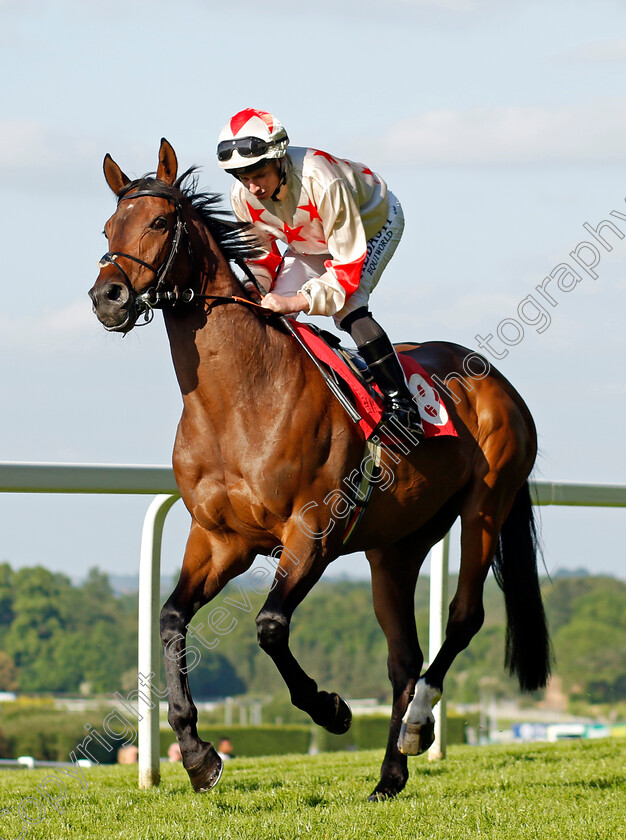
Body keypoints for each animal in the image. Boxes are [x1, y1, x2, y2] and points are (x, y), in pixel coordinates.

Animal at [89, 138, 552, 800]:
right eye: (107, 227)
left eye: (156, 222)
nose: (108, 298)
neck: (239, 400)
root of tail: (499, 382)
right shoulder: (220, 539)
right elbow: (172, 618)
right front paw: (198, 755)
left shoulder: (311, 532)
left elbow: (269, 626)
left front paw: (331, 709)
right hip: (396, 546)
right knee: (403, 658)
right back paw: (389, 775)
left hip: (485, 507)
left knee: (464, 617)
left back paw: (417, 726)